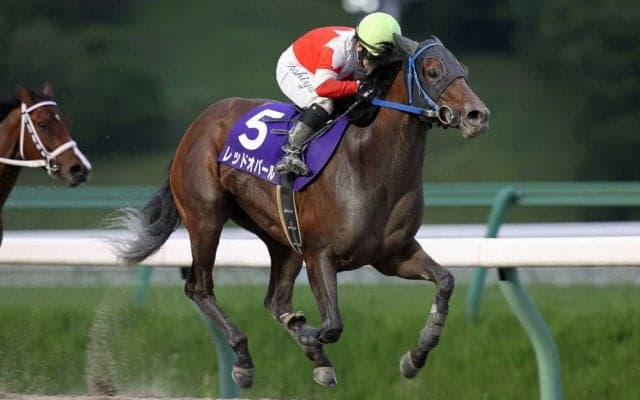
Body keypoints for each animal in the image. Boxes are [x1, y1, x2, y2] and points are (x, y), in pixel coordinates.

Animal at [113, 34, 489, 388]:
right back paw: (245, 359)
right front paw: (306, 332)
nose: (478, 116)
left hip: (281, 237)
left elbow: (445, 281)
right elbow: (332, 325)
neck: (369, 163)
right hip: (206, 218)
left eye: (465, 70)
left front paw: (416, 355)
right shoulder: (319, 253)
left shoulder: (391, 255)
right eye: (433, 71)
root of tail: (198, 125)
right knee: (199, 287)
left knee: (274, 300)